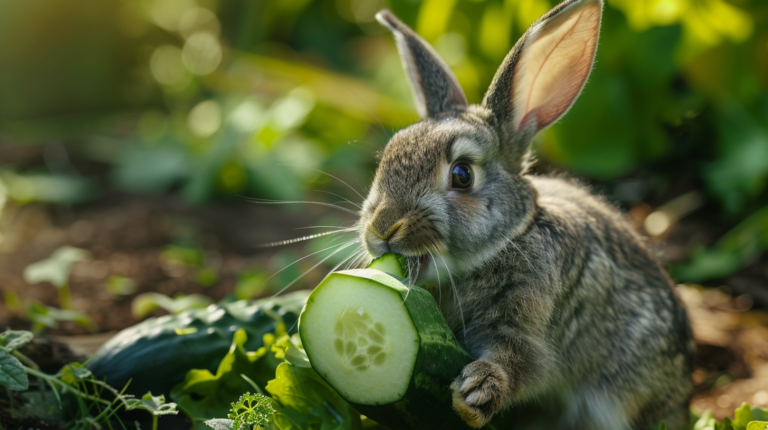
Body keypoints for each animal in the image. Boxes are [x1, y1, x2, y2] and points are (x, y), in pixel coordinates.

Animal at [358, 0, 696, 428]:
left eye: (462, 175)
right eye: (387, 155)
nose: (382, 228)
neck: (510, 238)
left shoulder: (529, 323)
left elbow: (523, 360)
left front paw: (476, 392)